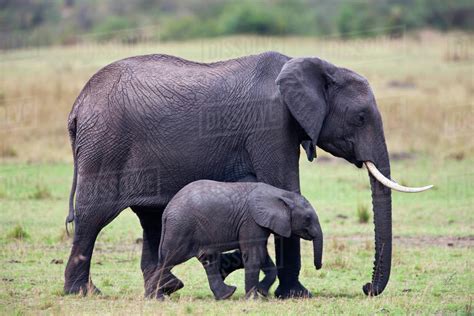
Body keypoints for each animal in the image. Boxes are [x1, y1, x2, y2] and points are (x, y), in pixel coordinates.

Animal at [150, 179, 324, 300]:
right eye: (308, 218)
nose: (318, 267)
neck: (279, 194)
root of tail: (166, 212)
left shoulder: (258, 224)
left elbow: (262, 254)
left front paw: (262, 291)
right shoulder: (251, 221)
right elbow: (254, 256)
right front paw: (253, 299)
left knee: (207, 259)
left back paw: (225, 295)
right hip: (181, 228)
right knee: (168, 260)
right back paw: (156, 298)